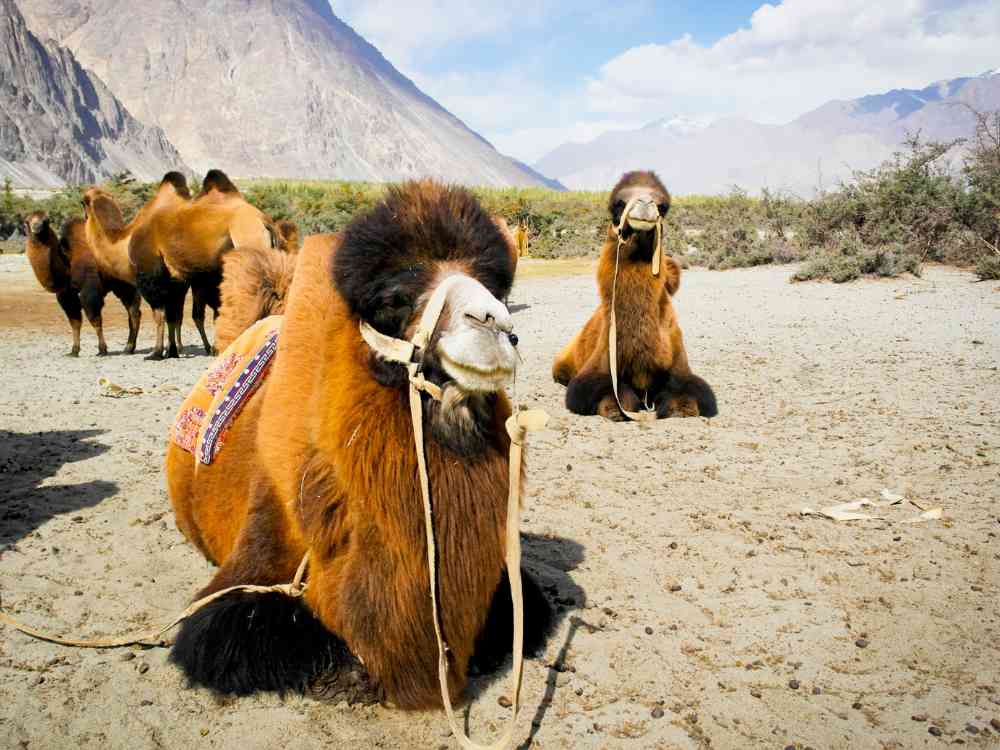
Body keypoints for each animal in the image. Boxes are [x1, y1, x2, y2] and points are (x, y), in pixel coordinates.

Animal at [25, 211, 140, 356]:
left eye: (46, 220)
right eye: (27, 221)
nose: (36, 227)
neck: (68, 263)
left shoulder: (89, 290)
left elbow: (95, 319)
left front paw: (102, 349)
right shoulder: (66, 295)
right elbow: (75, 322)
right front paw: (74, 351)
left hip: (127, 283)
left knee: (134, 311)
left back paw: (129, 348)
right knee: (133, 311)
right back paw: (129, 348)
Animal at [552, 170, 718, 420]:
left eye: (662, 206)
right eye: (618, 204)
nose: (645, 202)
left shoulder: (678, 363)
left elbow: (693, 391)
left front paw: (680, 408)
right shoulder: (600, 363)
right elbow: (592, 388)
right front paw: (615, 408)